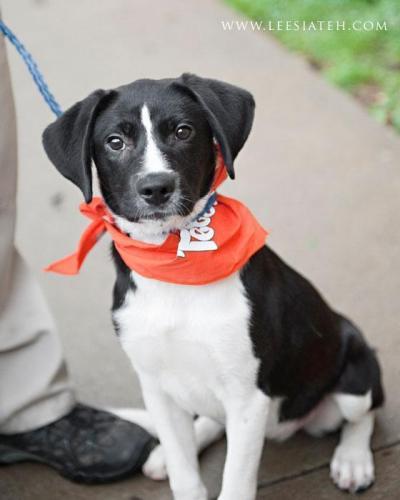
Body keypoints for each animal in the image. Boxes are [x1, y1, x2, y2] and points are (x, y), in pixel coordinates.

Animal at [43, 74, 384, 500]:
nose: (156, 187)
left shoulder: (247, 396)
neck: (175, 262)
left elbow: (235, 481)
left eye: (183, 132)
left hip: (354, 370)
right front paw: (175, 460)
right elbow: (183, 469)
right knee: (209, 419)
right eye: (115, 142)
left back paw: (353, 460)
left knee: (364, 413)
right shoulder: (156, 386)